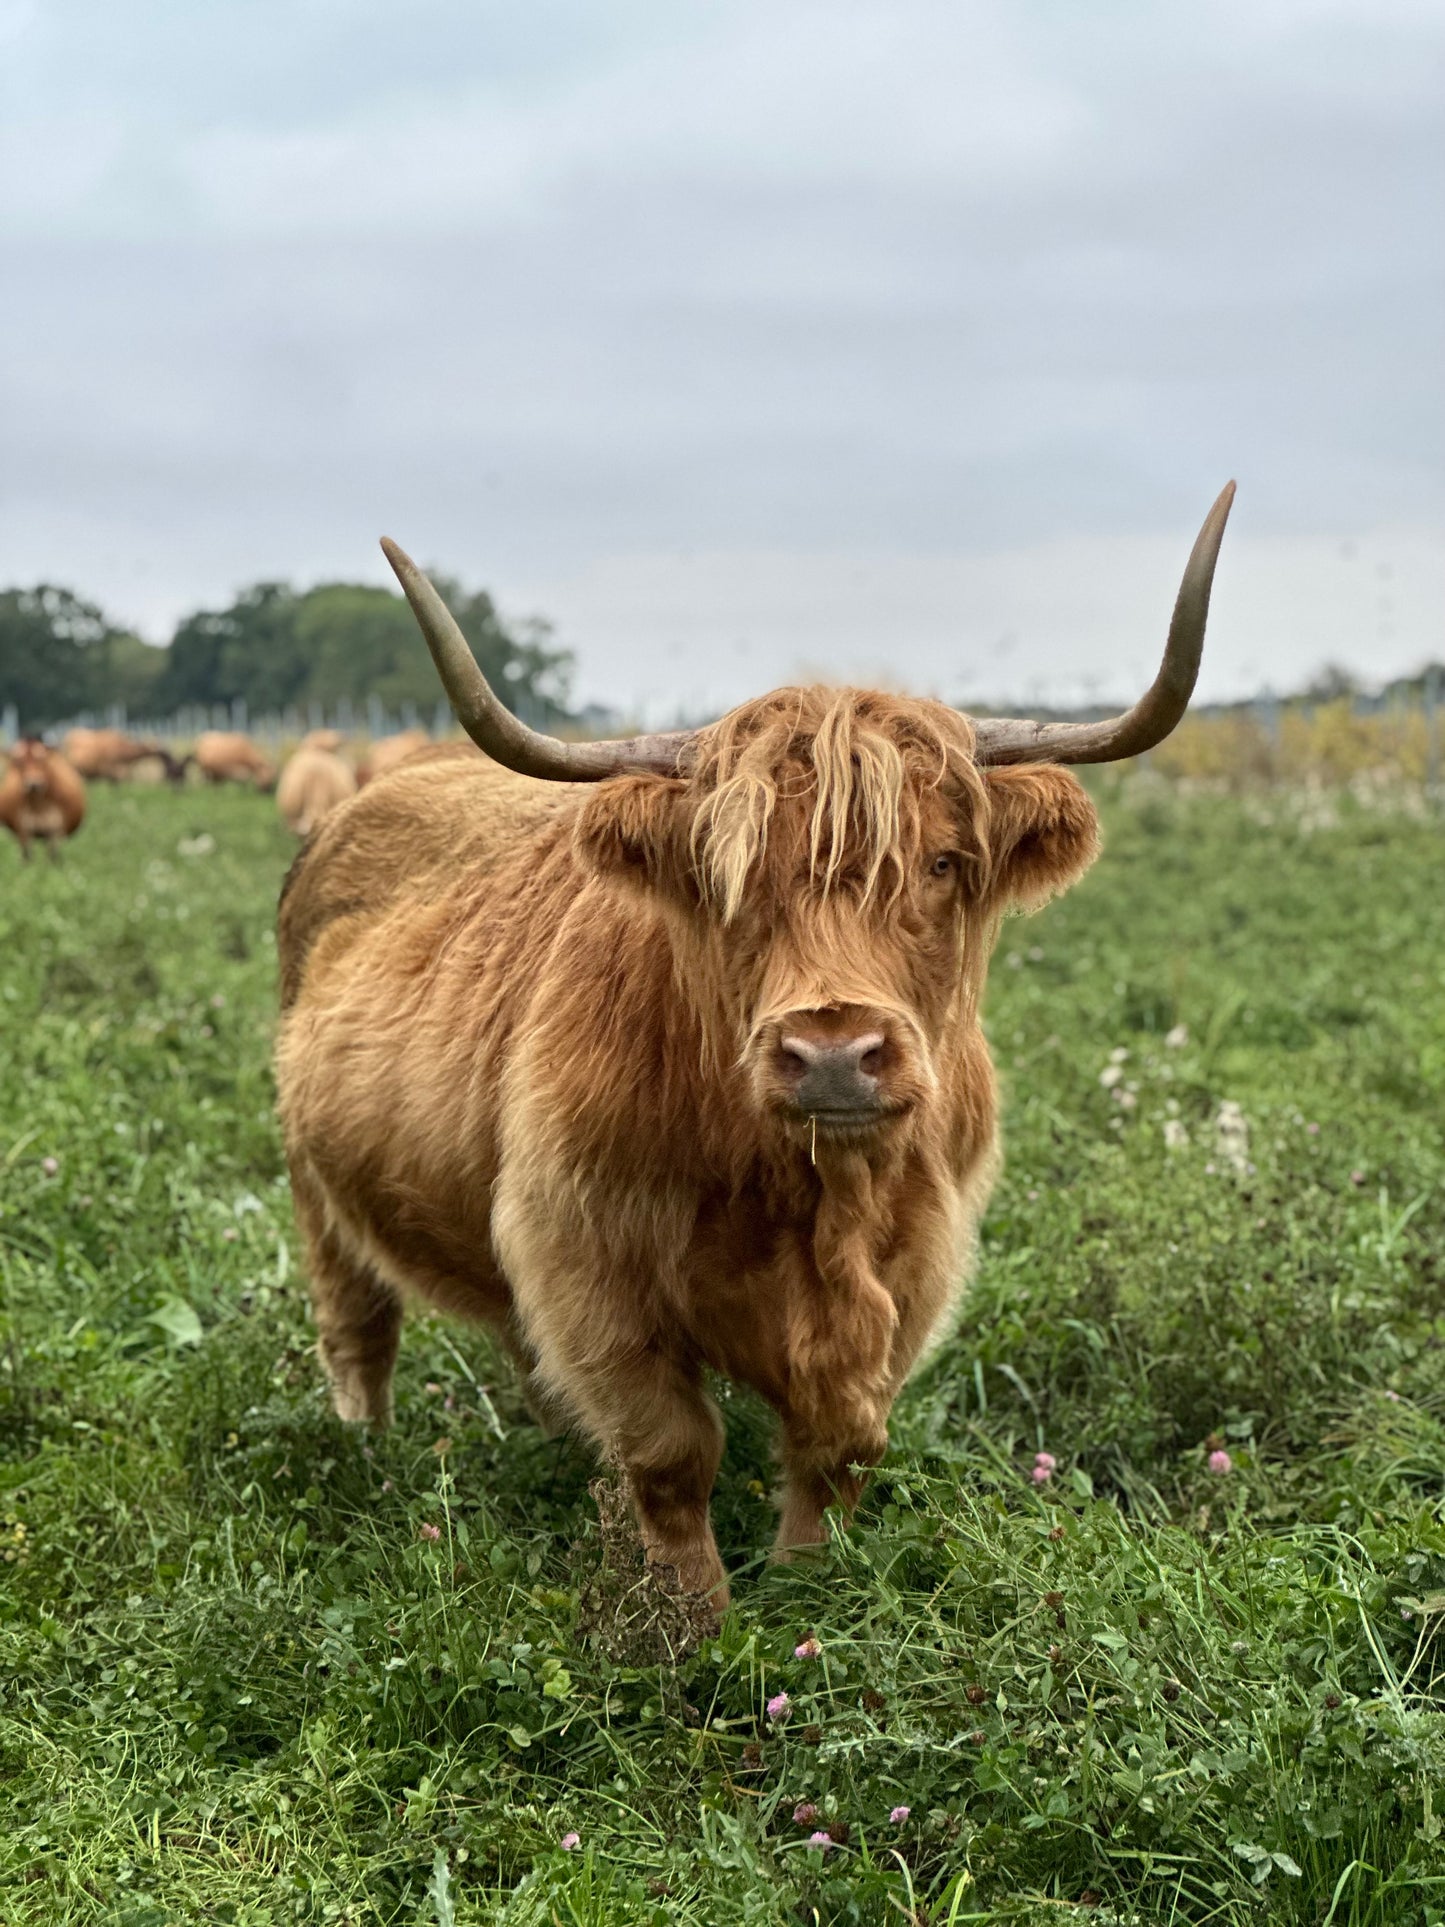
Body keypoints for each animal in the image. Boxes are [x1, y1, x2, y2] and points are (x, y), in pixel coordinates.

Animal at [276, 484, 1235, 1606]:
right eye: (727, 874)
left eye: (941, 862)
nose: (833, 1050)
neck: (803, 1195)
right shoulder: (582, 1255)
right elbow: (671, 1450)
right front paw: (691, 1614)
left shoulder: (915, 1264)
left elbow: (838, 1448)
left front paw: (808, 1593)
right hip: (316, 1187)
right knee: (357, 1325)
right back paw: (369, 1461)